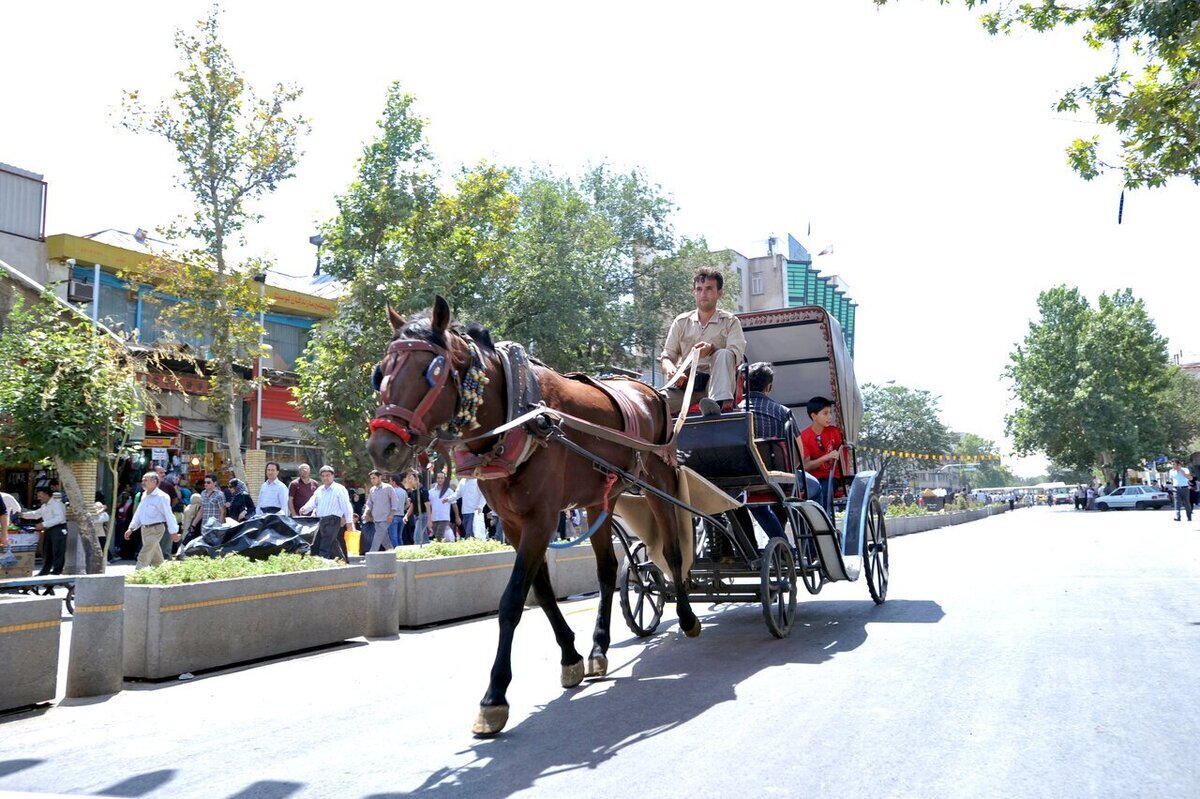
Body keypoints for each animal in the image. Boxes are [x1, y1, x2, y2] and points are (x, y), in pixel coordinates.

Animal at [367, 293, 700, 734]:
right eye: (381, 372)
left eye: (432, 371)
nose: (382, 447)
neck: (517, 415)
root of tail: (654, 391)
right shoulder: (513, 523)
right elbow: (540, 592)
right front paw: (571, 658)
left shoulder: (542, 519)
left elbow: (512, 600)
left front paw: (494, 696)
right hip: (599, 500)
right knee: (608, 570)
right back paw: (599, 648)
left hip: (658, 482)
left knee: (674, 552)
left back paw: (687, 617)